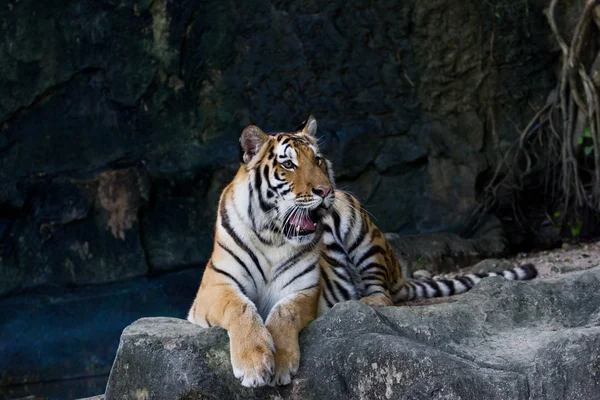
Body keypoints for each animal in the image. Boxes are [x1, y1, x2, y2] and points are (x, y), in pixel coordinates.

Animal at [185, 115, 536, 388]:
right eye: (288, 164)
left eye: (318, 160)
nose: (325, 190)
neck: (273, 235)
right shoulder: (215, 286)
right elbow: (241, 308)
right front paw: (255, 364)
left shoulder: (302, 290)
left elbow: (284, 315)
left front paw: (281, 363)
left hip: (361, 232)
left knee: (382, 296)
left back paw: (353, 305)